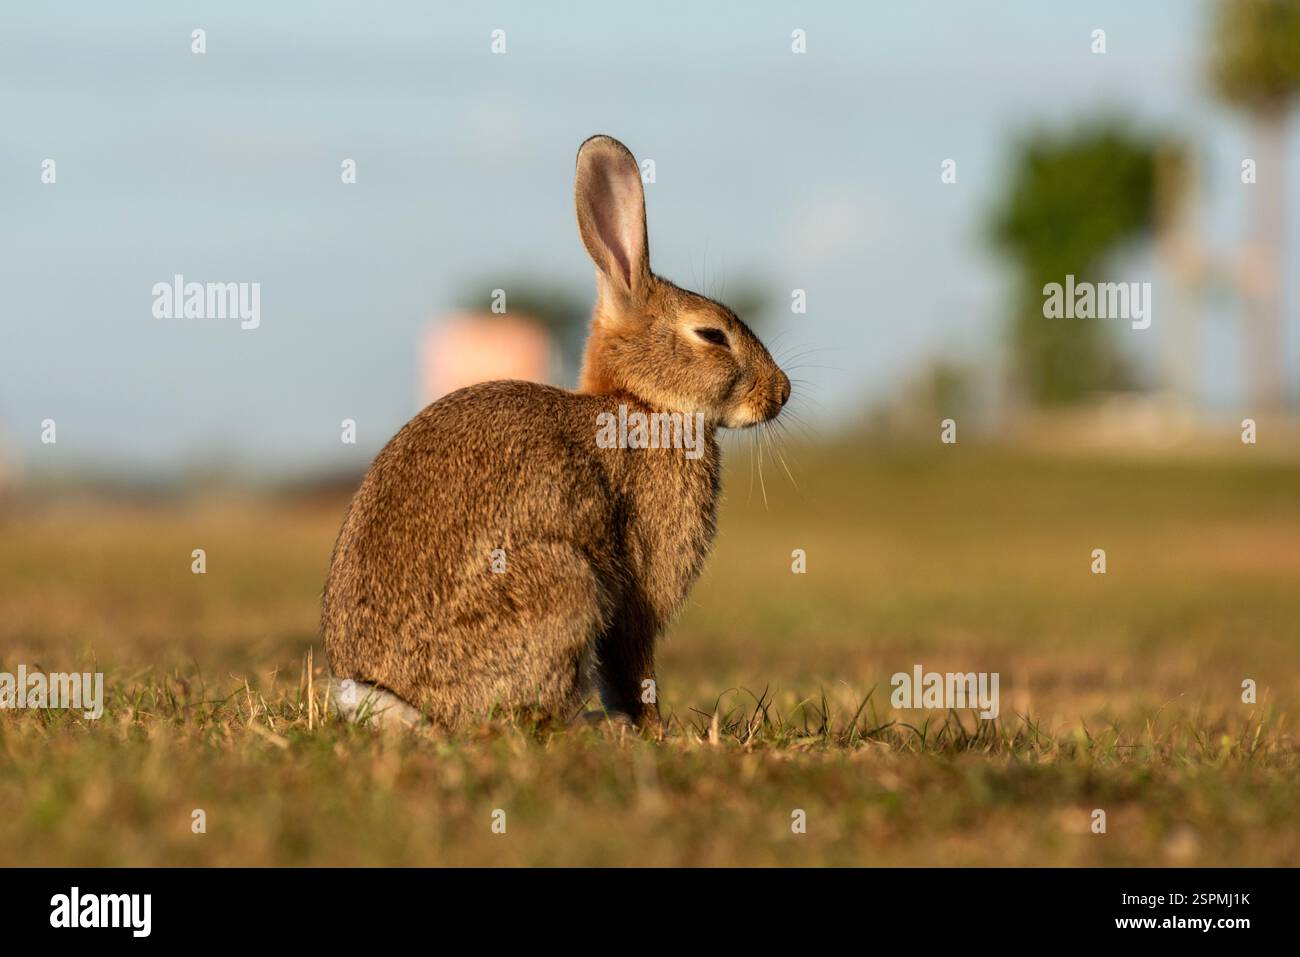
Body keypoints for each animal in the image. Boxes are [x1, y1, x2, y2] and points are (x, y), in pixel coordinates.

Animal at [322, 134, 790, 730]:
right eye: (711, 335)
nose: (781, 393)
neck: (643, 402)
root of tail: (395, 701)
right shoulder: (640, 589)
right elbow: (635, 666)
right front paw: (656, 732)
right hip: (564, 585)